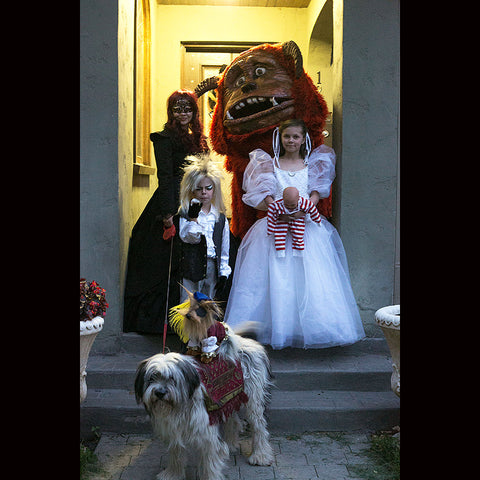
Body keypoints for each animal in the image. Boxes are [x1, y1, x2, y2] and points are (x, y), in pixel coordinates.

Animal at [134, 288, 274, 480]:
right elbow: (176, 453)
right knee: (233, 420)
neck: (182, 404)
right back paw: (230, 445)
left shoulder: (206, 432)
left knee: (259, 425)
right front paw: (173, 474)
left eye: (172, 378)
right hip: (229, 398)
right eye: (152, 378)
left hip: (253, 397)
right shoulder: (174, 429)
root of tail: (243, 343)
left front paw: (210, 474)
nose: (160, 393)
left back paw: (260, 455)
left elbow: (210, 460)